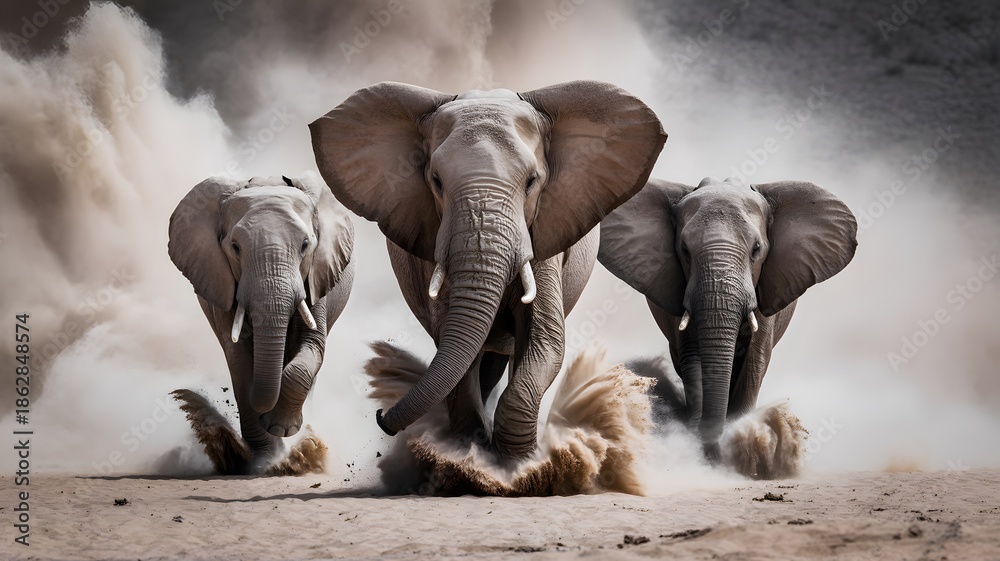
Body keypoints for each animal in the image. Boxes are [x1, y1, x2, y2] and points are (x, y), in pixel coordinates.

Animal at [168, 173, 354, 473]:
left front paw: (282, 430)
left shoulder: (316, 275)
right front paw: (267, 458)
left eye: (305, 245)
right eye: (235, 247)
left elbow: (312, 344)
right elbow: (239, 359)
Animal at [310, 80, 665, 459]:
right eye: (436, 180)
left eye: (532, 181)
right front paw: (471, 458)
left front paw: (516, 464)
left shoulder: (545, 235)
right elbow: (454, 342)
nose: (380, 417)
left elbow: (544, 341)